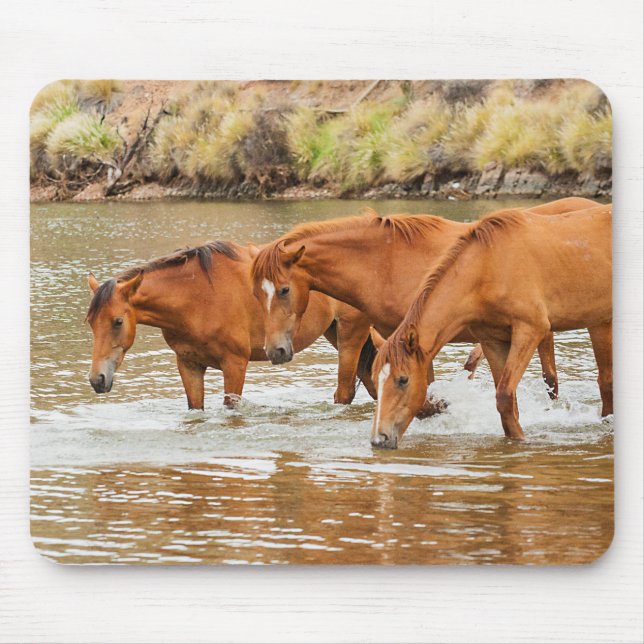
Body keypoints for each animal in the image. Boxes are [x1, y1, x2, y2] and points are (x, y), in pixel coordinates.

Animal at [86, 240, 377, 409]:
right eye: (90, 323)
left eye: (117, 321)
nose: (97, 379)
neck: (197, 297)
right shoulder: (189, 365)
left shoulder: (235, 364)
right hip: (335, 333)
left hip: (350, 337)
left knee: (344, 393)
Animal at [370, 203, 612, 448]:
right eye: (374, 380)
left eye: (403, 379)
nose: (380, 439)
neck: (487, 267)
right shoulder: (492, 340)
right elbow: (509, 402)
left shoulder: (530, 330)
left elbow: (504, 395)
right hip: (602, 322)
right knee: (606, 381)